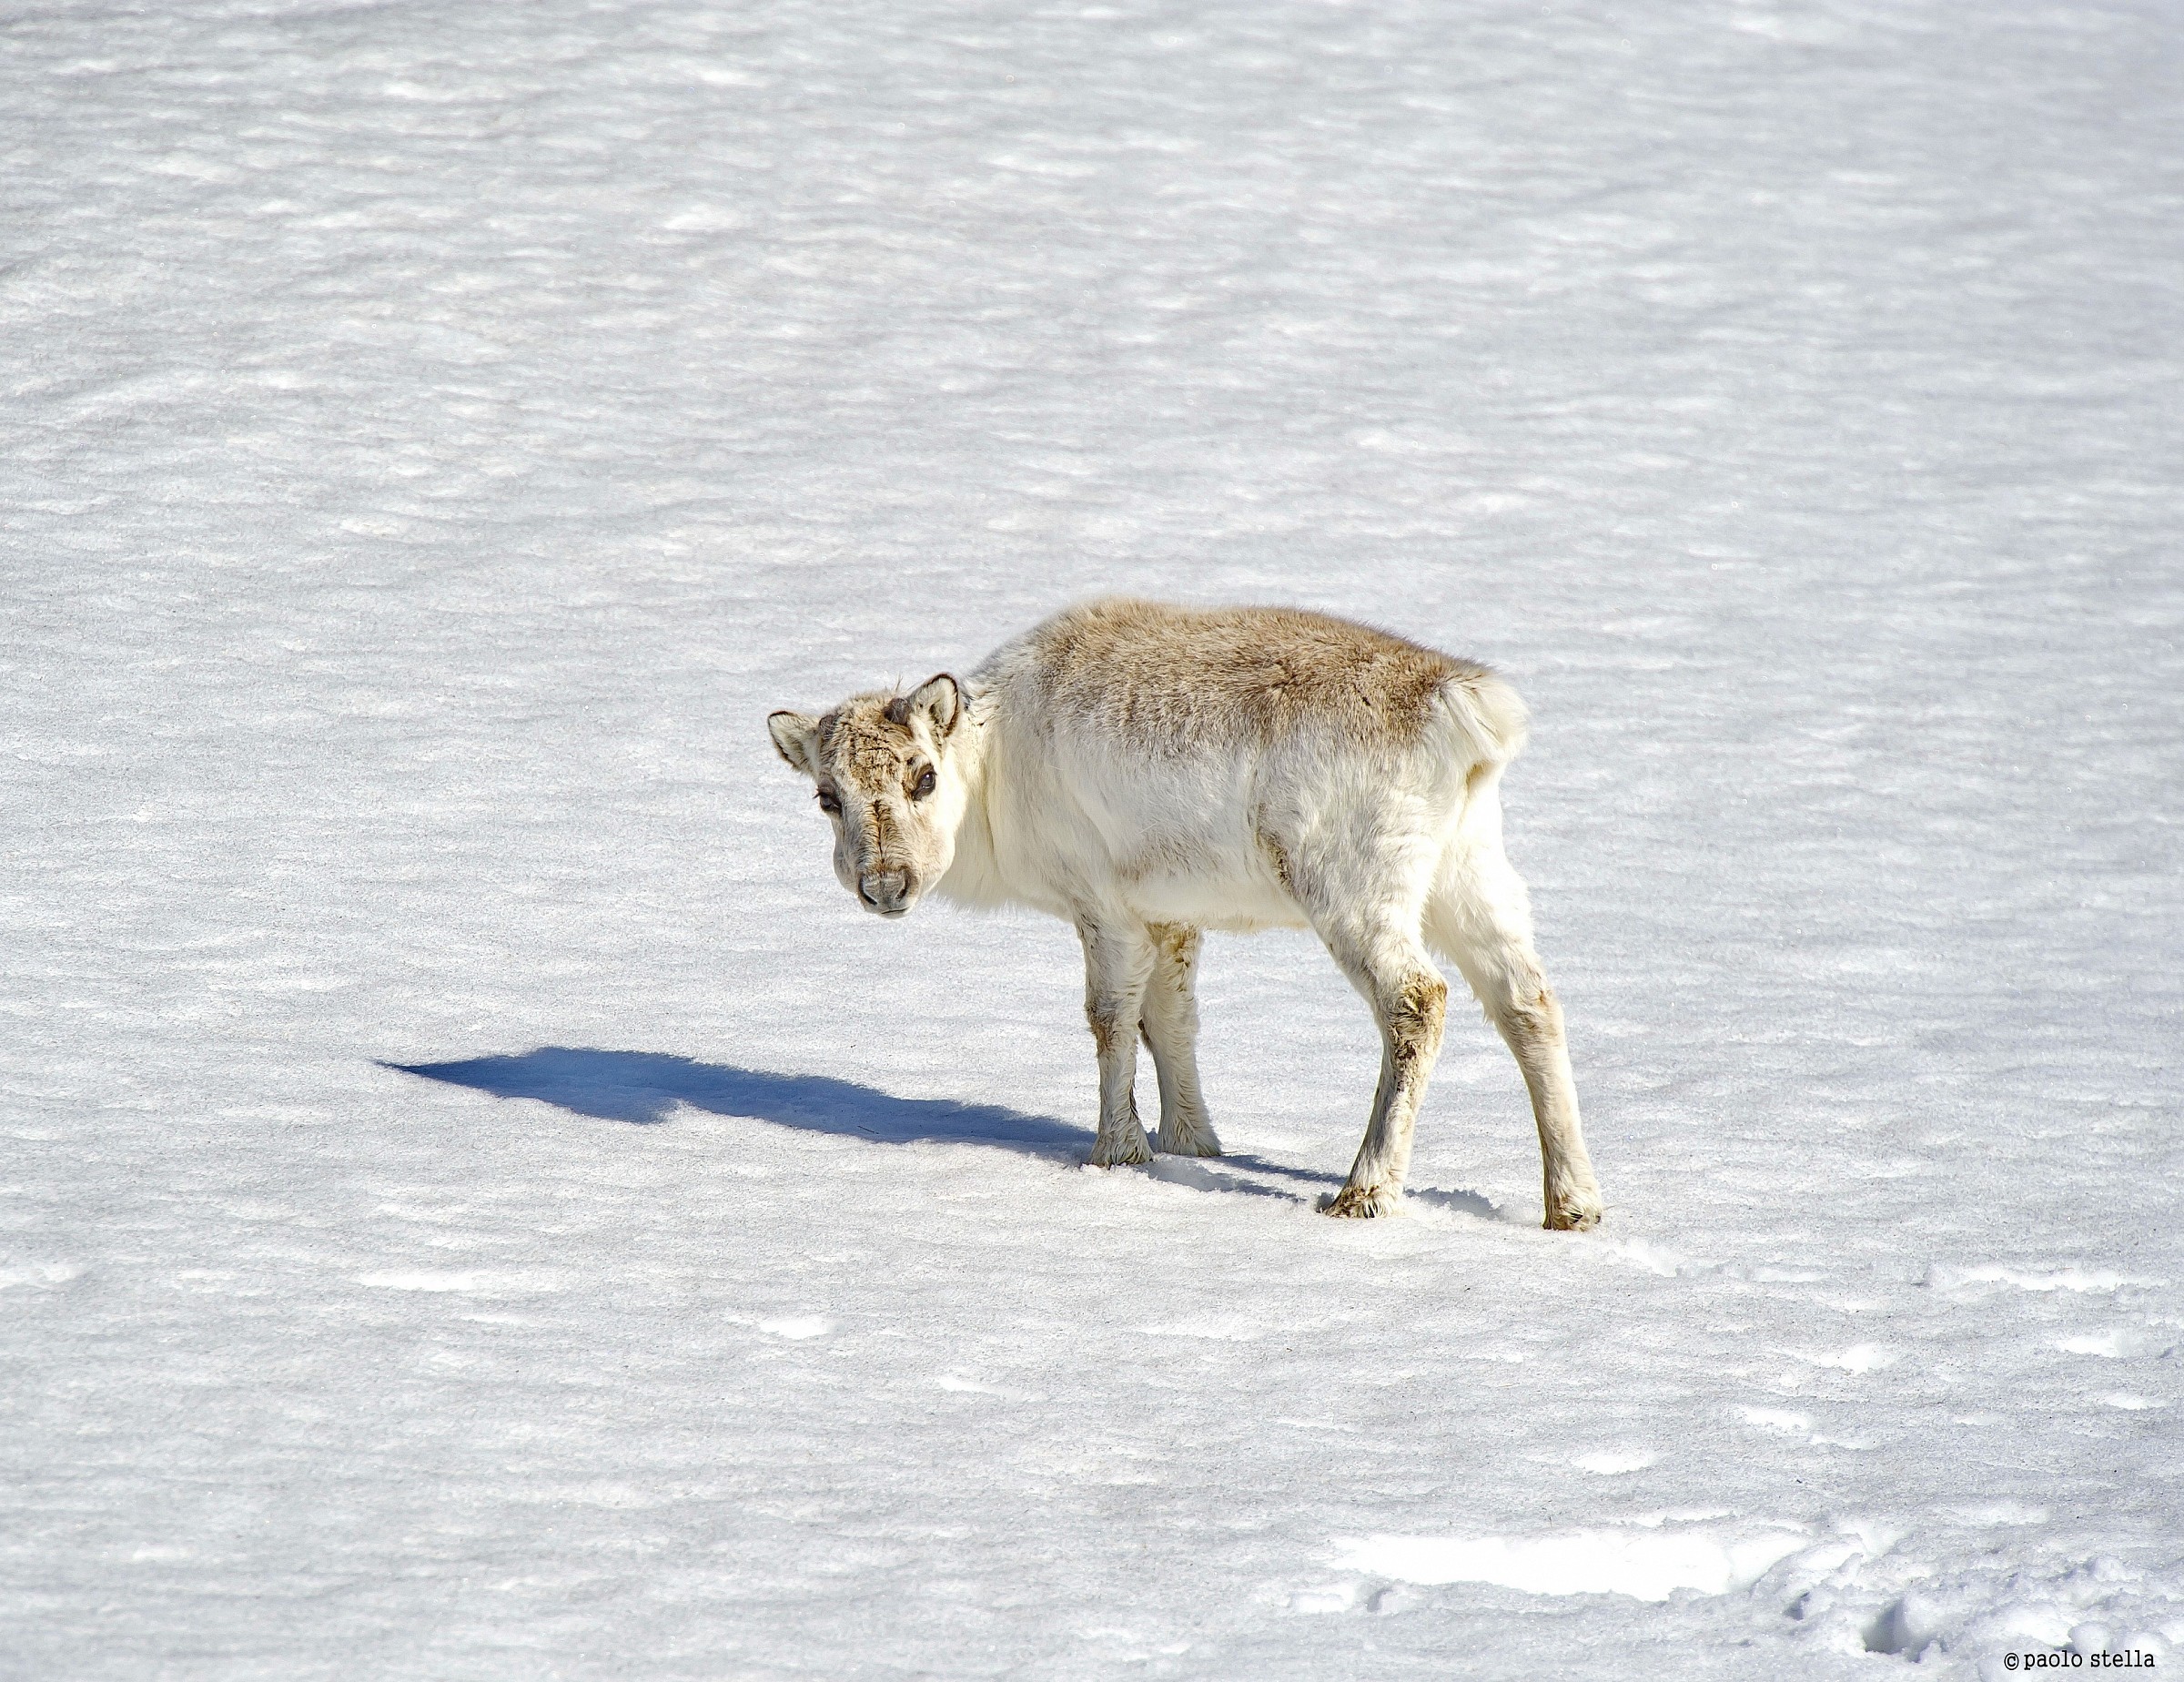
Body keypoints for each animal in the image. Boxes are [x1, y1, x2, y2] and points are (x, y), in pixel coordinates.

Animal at [765, 598, 1603, 1229]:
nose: (884, 885)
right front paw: (1193, 1145)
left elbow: (1109, 1019)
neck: (995, 768)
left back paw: (1362, 1193)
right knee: (1528, 999)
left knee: (1418, 1000)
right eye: (827, 796)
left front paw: (1116, 1152)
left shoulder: (1102, 905)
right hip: (1469, 876)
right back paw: (1572, 1206)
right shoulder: (1171, 915)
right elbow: (1169, 1021)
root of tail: (1460, 707)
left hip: (1353, 889)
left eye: (923, 776)